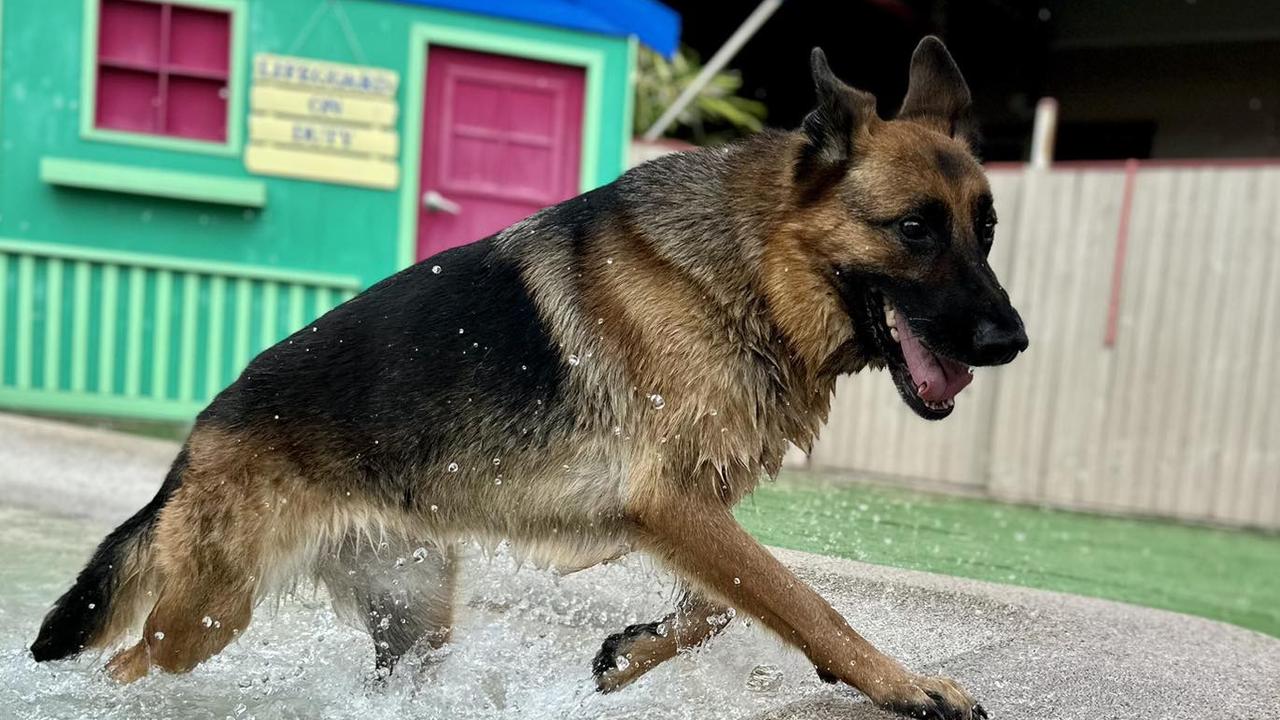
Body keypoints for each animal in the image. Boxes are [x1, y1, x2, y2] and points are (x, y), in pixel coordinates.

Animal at [35, 37, 1024, 717]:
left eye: (986, 231)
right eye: (915, 229)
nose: (1011, 340)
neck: (748, 268)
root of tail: (202, 433)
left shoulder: (689, 507)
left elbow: (723, 608)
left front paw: (628, 653)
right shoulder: (669, 500)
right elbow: (806, 602)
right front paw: (904, 686)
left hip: (413, 621)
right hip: (206, 616)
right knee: (129, 661)